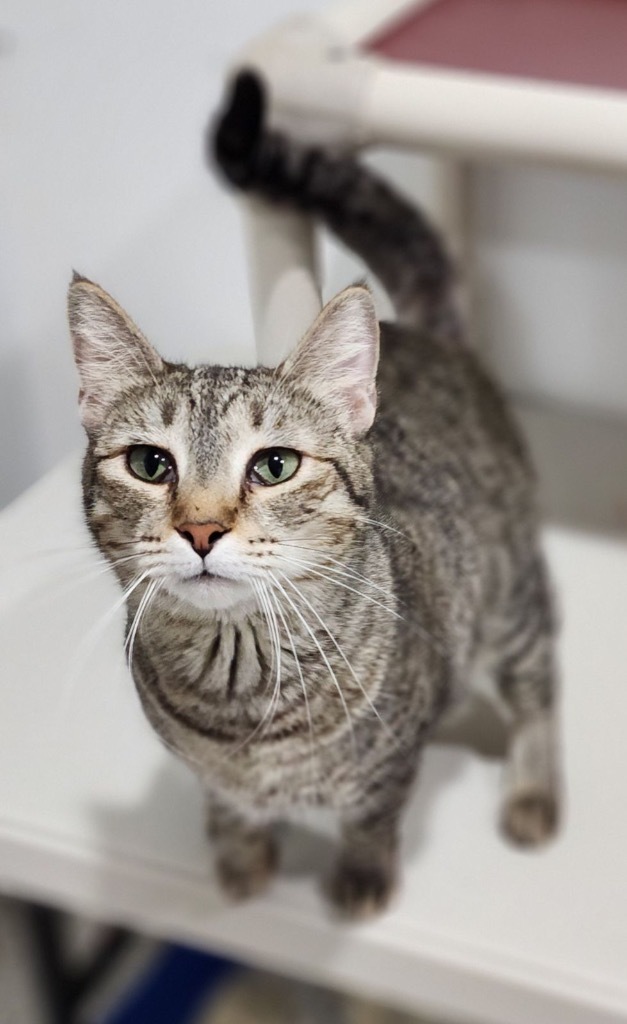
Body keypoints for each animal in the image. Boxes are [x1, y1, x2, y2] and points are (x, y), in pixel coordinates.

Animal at [67, 72, 557, 921]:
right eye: (150, 464)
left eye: (273, 466)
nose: (201, 529)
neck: (240, 697)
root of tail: (434, 339)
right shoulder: (208, 771)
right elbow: (227, 804)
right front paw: (239, 857)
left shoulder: (392, 761)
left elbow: (372, 813)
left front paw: (359, 878)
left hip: (509, 600)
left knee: (538, 686)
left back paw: (531, 786)